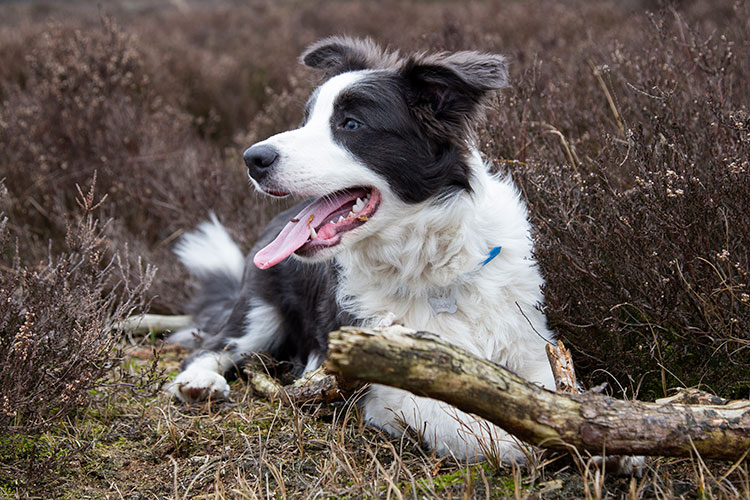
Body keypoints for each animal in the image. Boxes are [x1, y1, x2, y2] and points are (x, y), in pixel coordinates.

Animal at [170, 37, 560, 462]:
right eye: (307, 119)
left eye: (351, 124)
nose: (253, 158)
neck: (431, 268)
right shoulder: (384, 380)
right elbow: (464, 423)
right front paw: (517, 438)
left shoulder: (532, 346)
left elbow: (551, 393)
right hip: (258, 312)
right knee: (214, 344)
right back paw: (199, 382)